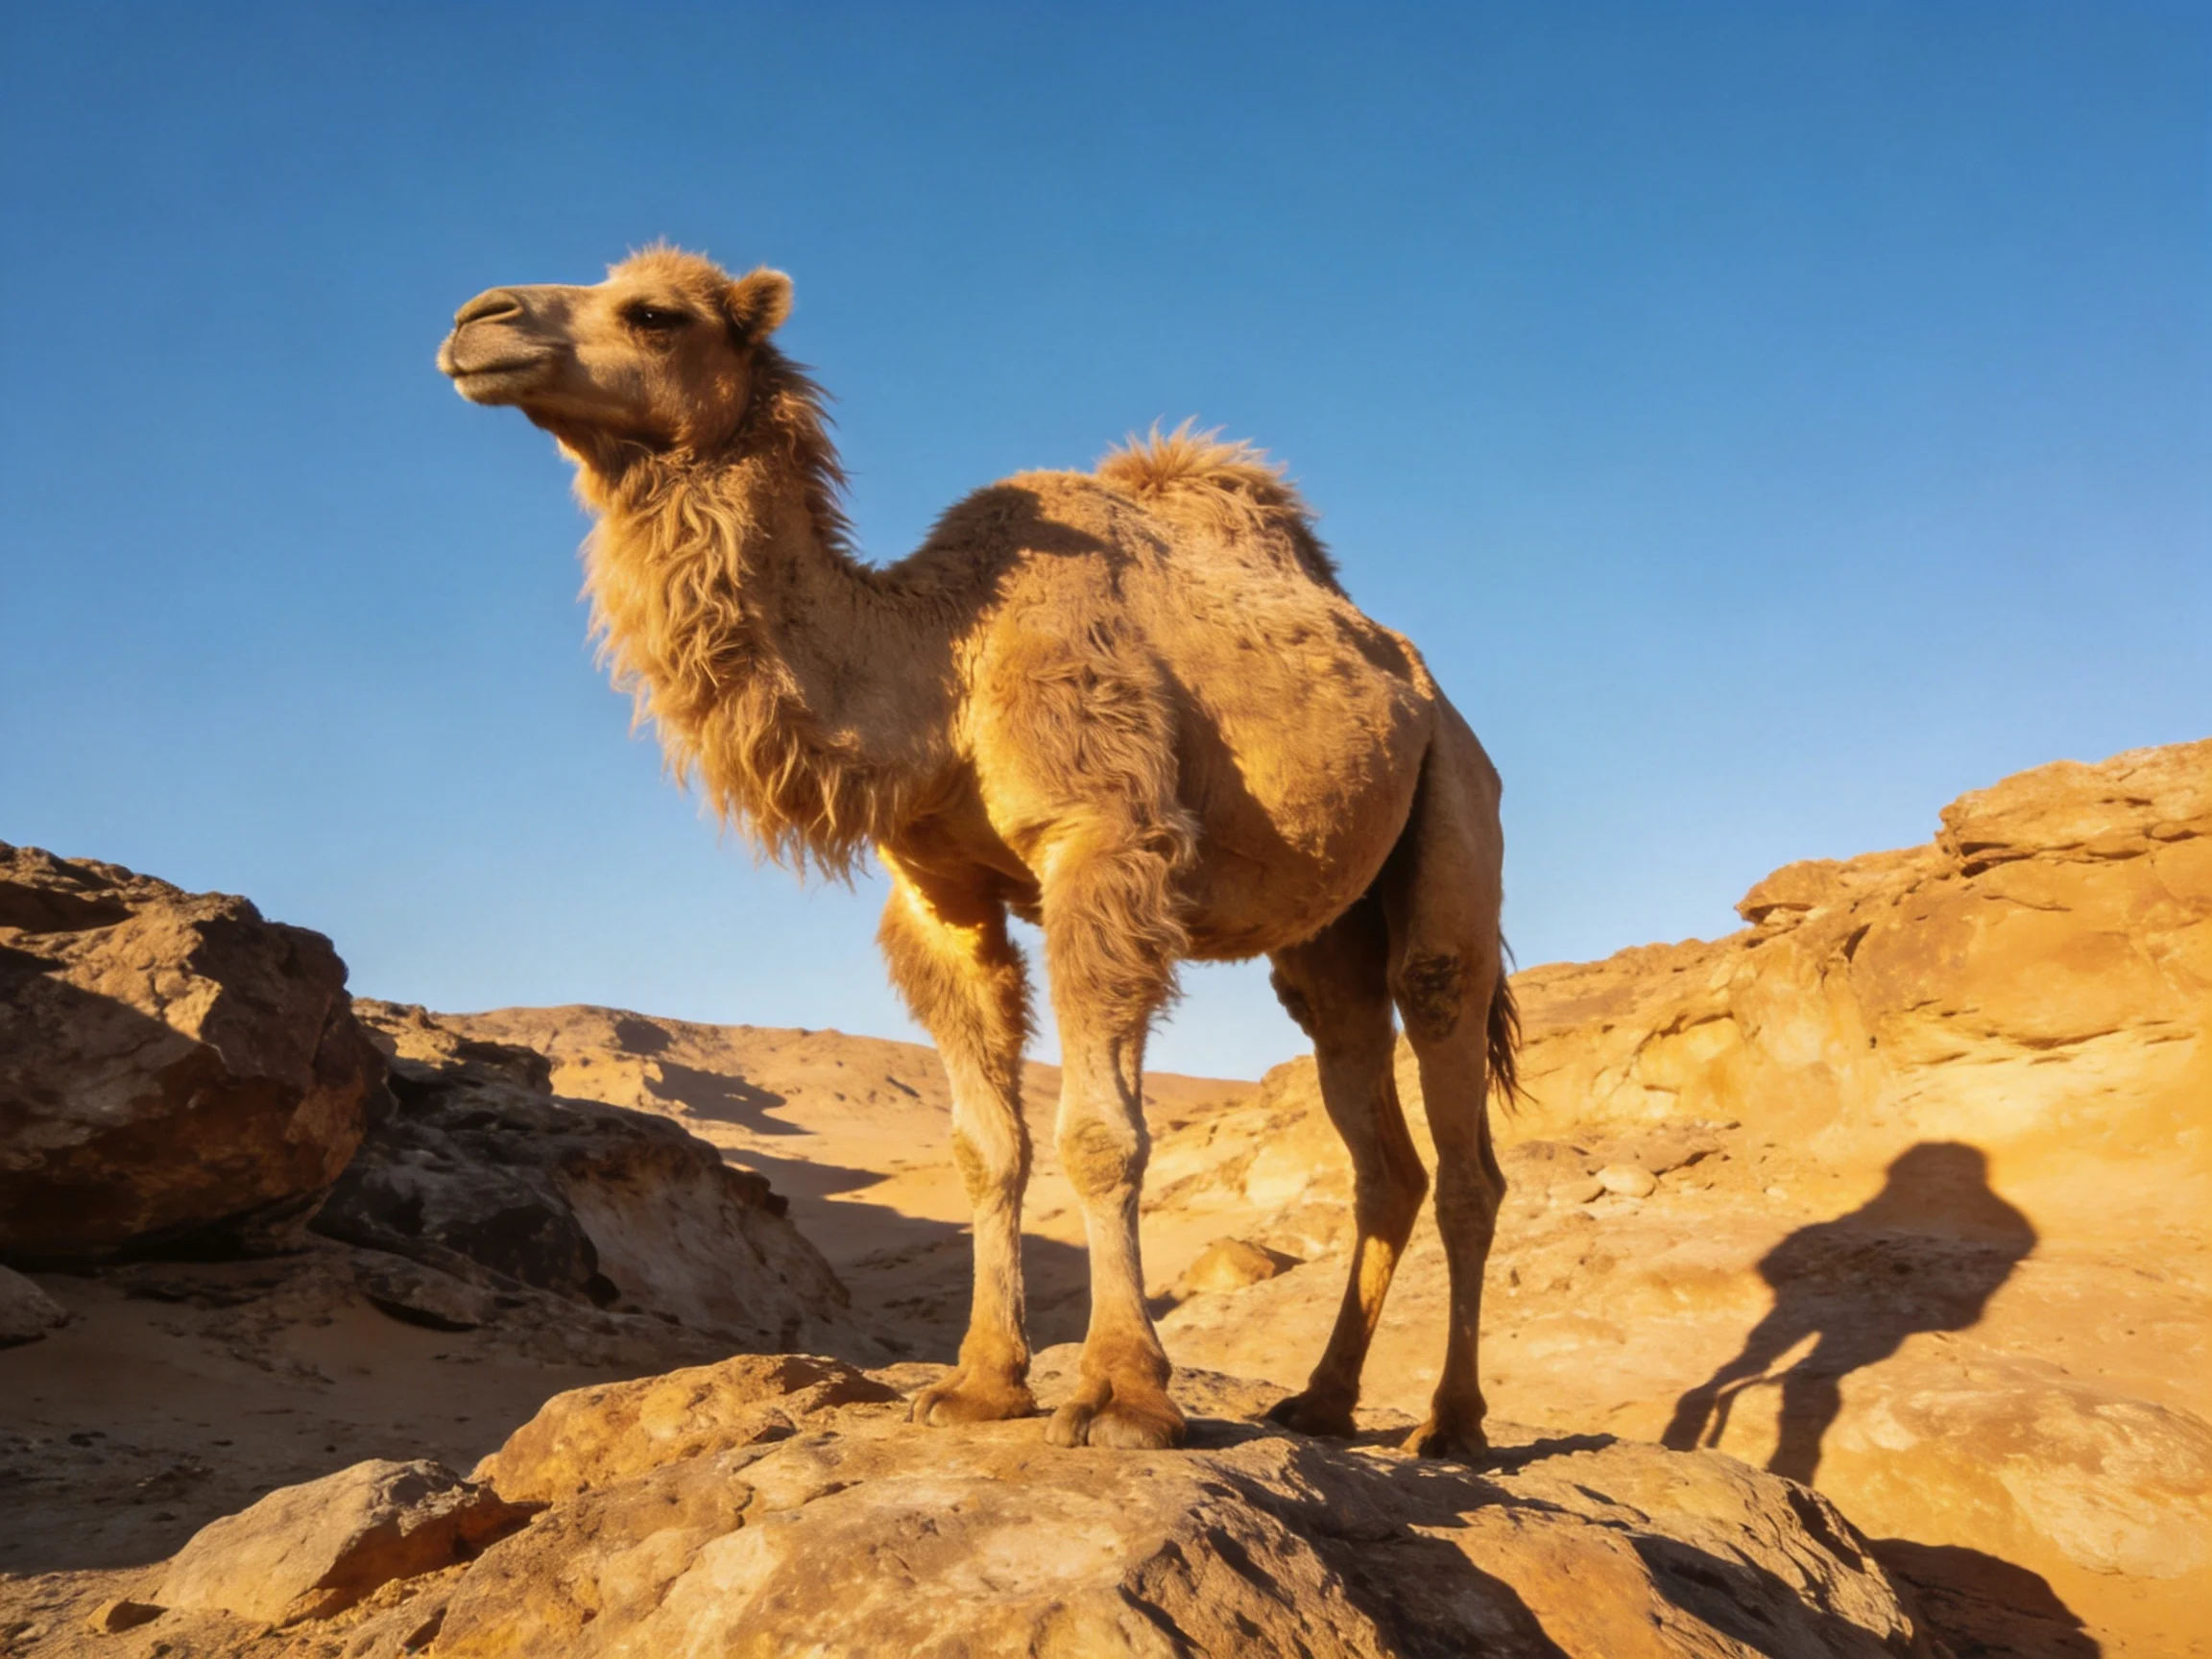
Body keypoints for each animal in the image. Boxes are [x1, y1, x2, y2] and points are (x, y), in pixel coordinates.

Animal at [437, 247, 1518, 1457]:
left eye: (657, 315)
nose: (478, 321)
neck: (936, 668)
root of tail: (1430, 696)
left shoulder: (1104, 845)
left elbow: (1100, 1135)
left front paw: (1122, 1396)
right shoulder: (940, 893)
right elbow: (985, 1148)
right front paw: (980, 1386)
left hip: (1457, 816)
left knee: (1460, 1116)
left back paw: (1452, 1424)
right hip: (1328, 936)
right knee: (1380, 1144)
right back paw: (1324, 1403)